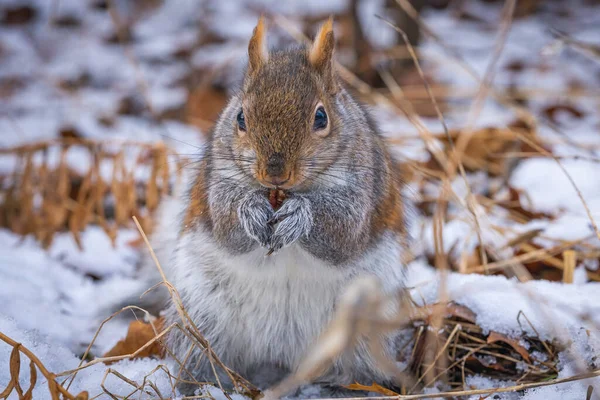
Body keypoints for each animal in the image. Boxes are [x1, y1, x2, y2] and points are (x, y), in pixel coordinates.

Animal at [139, 16, 410, 396]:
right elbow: (226, 225)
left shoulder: (364, 191)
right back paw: (198, 386)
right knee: (202, 358)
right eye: (240, 118)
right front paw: (250, 210)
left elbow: (343, 233)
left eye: (321, 117)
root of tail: (279, 356)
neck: (284, 194)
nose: (275, 173)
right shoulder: (215, 183)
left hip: (361, 328)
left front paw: (299, 216)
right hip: (201, 323)